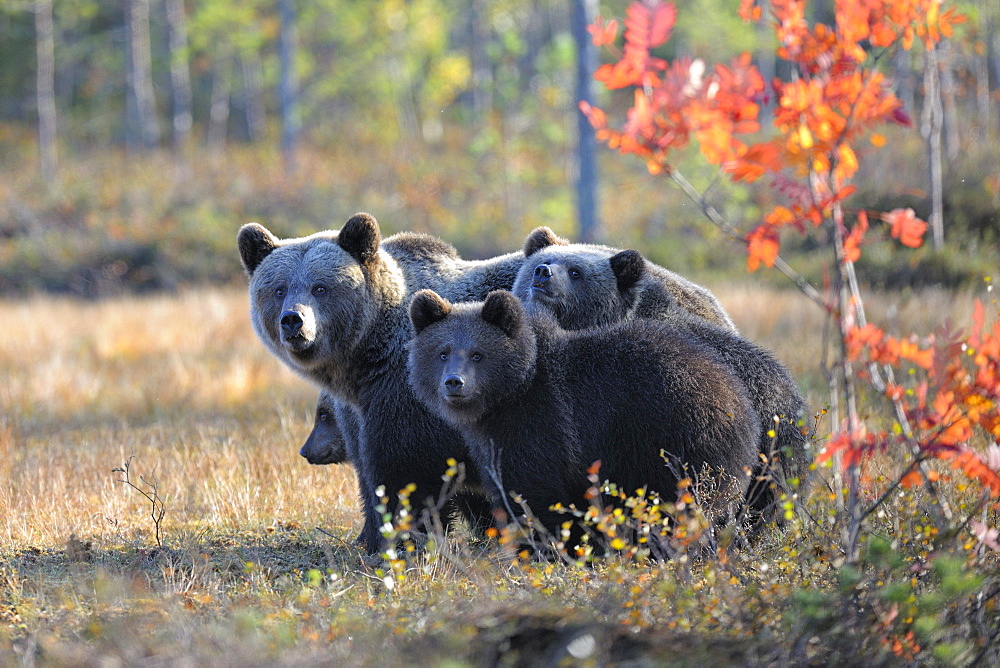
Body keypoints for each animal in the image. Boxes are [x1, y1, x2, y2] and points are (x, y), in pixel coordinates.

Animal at [239, 213, 528, 552]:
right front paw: (369, 536)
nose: (293, 320)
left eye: (320, 287)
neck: (364, 359)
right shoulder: (359, 408)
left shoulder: (410, 391)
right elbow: (365, 468)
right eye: (279, 289)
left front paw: (402, 538)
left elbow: (404, 465)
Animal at [406, 290, 756, 552]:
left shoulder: (540, 425)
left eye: (478, 354)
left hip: (673, 440)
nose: (454, 382)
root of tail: (736, 397)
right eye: (442, 352)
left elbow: (534, 497)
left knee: (680, 506)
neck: (509, 395)